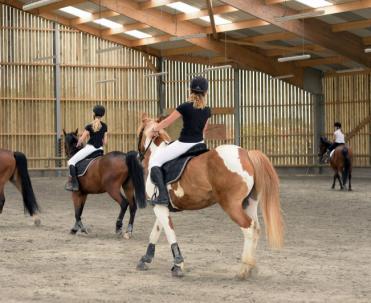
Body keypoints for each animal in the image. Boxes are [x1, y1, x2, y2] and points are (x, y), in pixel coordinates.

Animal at [137, 114, 284, 280]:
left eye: (140, 133)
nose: (138, 156)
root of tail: (246, 154)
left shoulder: (159, 206)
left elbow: (169, 233)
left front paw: (178, 265)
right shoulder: (161, 206)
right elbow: (155, 232)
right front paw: (146, 259)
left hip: (231, 205)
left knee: (248, 228)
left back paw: (244, 269)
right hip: (249, 204)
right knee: (256, 229)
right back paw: (251, 267)